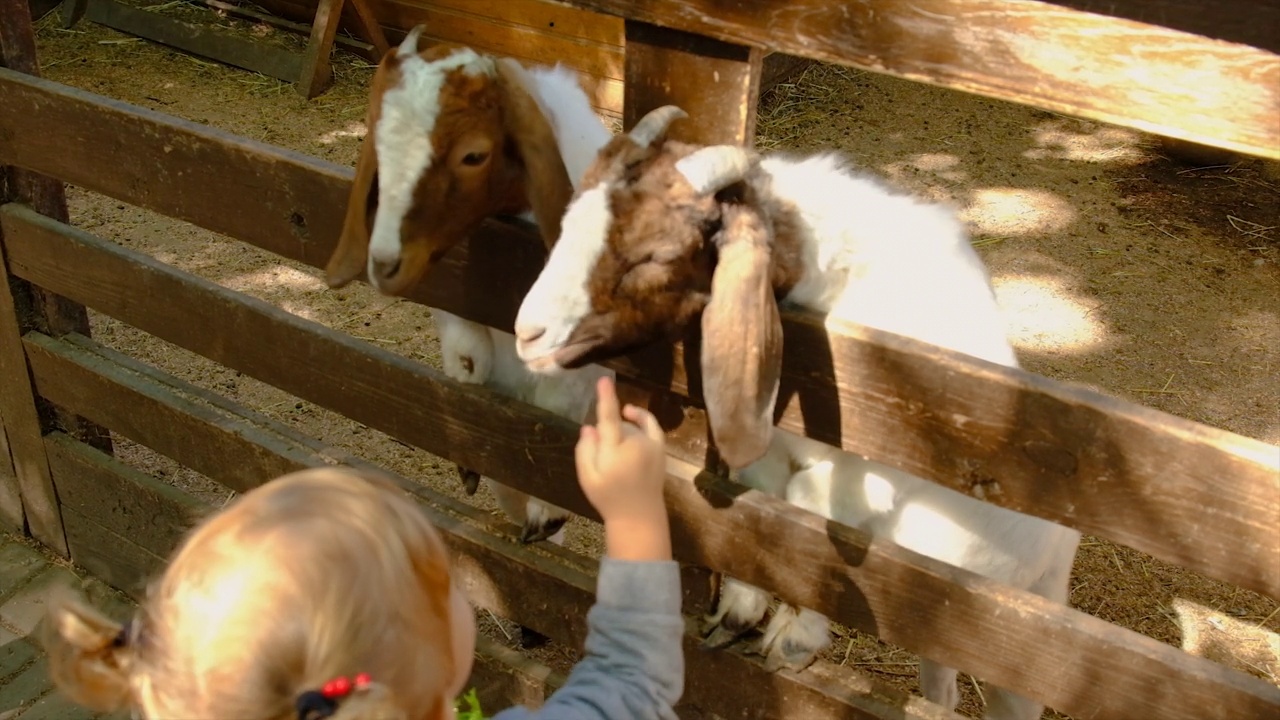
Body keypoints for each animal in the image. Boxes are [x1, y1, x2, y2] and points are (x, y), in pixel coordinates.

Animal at [325, 26, 614, 543]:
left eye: (473, 155)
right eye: (379, 145)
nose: (384, 263)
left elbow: (559, 411)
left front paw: (548, 513)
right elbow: (467, 358)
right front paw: (468, 461)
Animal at [514, 106, 1085, 717]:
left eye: (657, 254)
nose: (529, 334)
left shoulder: (879, 462)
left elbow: (809, 509)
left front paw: (793, 635)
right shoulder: (772, 449)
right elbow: (763, 504)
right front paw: (739, 608)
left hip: (1026, 631)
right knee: (943, 681)